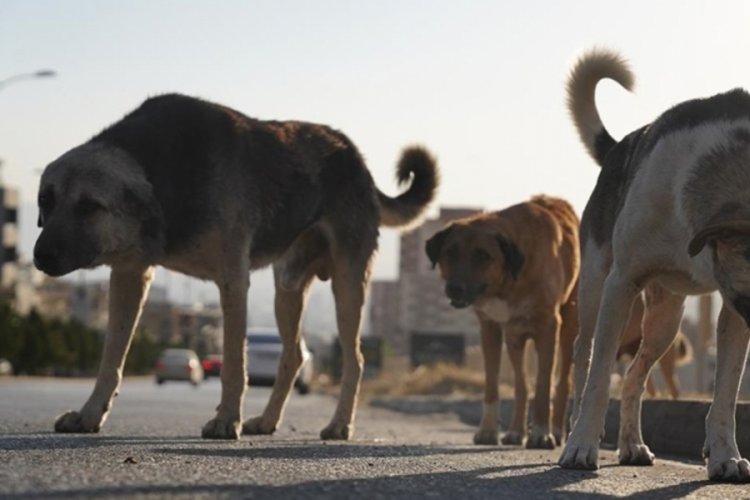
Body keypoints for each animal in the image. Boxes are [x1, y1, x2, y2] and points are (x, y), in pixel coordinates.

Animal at [33, 92, 440, 440]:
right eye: (45, 200)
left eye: (89, 206)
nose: (41, 257)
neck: (162, 170)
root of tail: (356, 158)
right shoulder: (130, 275)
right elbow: (111, 357)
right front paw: (89, 414)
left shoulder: (232, 279)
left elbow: (232, 362)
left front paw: (227, 420)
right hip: (288, 288)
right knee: (293, 354)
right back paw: (268, 421)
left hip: (348, 283)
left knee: (354, 358)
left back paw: (340, 425)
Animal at [426, 195, 580, 450]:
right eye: (450, 252)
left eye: (483, 256)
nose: (455, 288)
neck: (510, 279)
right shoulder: (489, 328)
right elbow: (492, 385)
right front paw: (488, 430)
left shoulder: (548, 327)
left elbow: (543, 386)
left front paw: (541, 433)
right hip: (514, 338)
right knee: (521, 384)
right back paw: (516, 432)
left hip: (569, 328)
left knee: (561, 383)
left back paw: (556, 431)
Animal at [560, 48, 750, 482]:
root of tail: (619, 147)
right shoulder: (622, 283)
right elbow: (598, 382)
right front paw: (582, 446)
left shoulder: (731, 307)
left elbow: (726, 394)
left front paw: (724, 455)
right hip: (594, 288)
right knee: (584, 355)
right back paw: (573, 431)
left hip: (666, 319)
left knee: (635, 376)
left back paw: (632, 445)